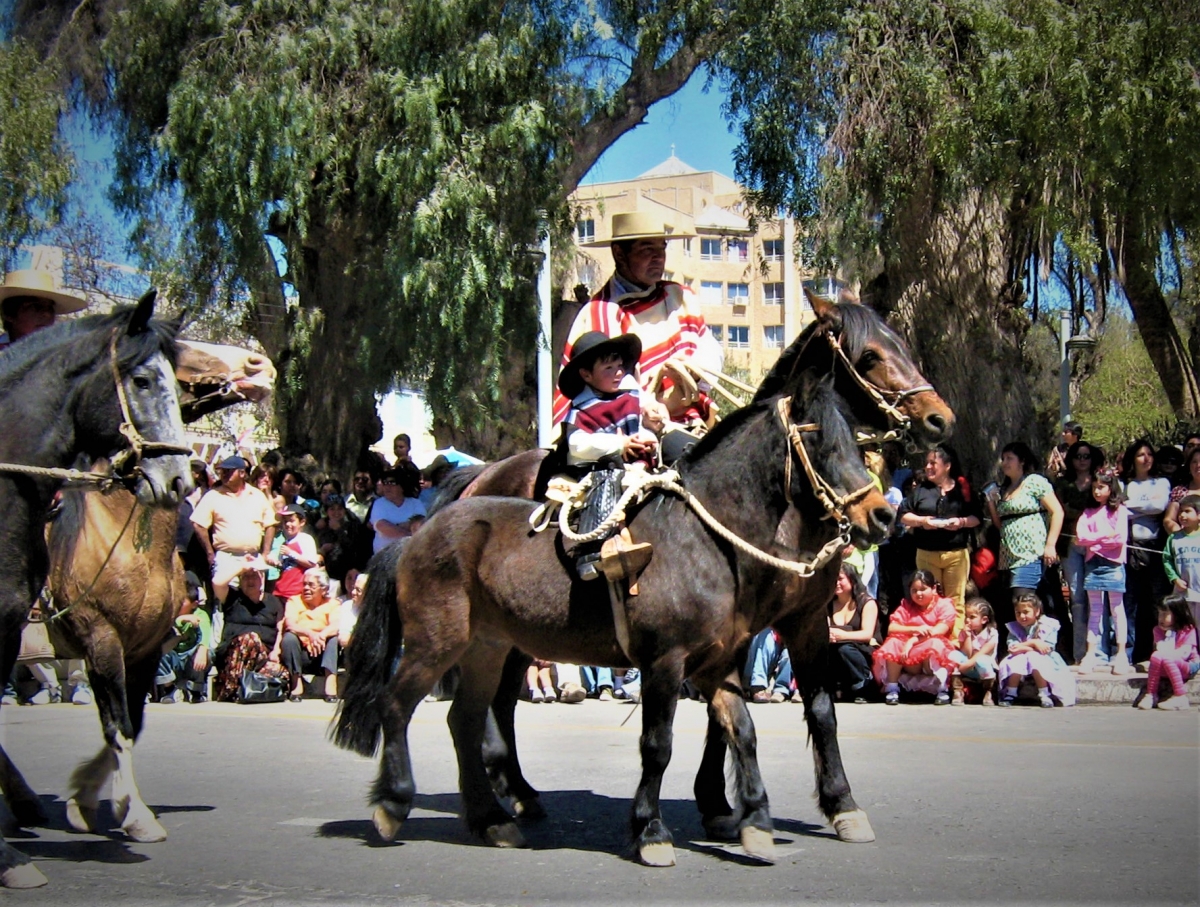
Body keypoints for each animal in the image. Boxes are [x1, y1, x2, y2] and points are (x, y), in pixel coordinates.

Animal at [336, 362, 892, 863]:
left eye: (859, 442)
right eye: (822, 444)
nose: (881, 515)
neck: (706, 540)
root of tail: (413, 540)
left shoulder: (718, 660)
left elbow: (743, 730)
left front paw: (753, 821)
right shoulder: (666, 662)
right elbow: (658, 744)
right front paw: (651, 831)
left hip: (486, 649)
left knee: (466, 720)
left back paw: (492, 818)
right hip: (436, 642)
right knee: (396, 705)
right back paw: (394, 804)